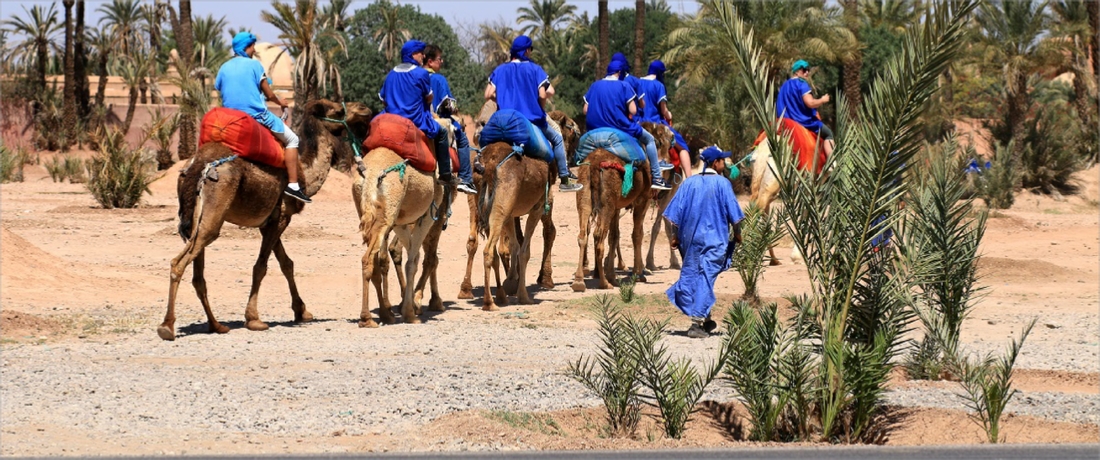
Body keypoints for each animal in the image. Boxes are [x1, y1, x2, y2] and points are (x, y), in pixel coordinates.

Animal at [158, 99, 374, 338]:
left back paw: (216, 326)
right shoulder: (281, 218)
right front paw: (254, 319)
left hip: (196, 218)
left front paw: (302, 311)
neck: (305, 173)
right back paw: (167, 326)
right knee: (180, 262)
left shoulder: (269, 221)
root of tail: (198, 163)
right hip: (215, 209)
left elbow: (286, 263)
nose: (365, 108)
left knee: (198, 274)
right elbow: (261, 267)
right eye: (336, 110)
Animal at [352, 118, 455, 327]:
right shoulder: (429, 216)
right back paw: (368, 318)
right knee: (369, 258)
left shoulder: (400, 222)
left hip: (370, 212)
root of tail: (372, 175)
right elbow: (414, 261)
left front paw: (410, 306)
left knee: (373, 260)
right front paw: (410, 311)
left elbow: (411, 257)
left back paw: (385, 314)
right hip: (389, 215)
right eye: (454, 134)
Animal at [572, 122, 673, 290]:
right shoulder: (642, 200)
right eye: (663, 141)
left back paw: (579, 281)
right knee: (598, 236)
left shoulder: (617, 206)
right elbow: (637, 234)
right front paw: (638, 274)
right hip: (606, 203)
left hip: (585, 194)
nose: (668, 160)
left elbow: (614, 236)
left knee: (583, 234)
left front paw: (613, 276)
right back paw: (604, 283)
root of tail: (594, 164)